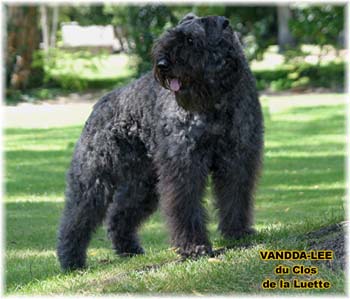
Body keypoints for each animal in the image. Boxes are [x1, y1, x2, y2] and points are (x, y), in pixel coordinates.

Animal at [56, 14, 262, 272]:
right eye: (168, 38)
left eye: (191, 40)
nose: (163, 64)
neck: (216, 100)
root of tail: (101, 103)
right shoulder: (185, 165)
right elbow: (186, 206)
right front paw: (194, 248)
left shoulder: (238, 159)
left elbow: (235, 196)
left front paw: (238, 233)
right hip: (95, 176)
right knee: (77, 215)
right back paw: (71, 260)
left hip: (143, 183)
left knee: (120, 213)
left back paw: (129, 249)